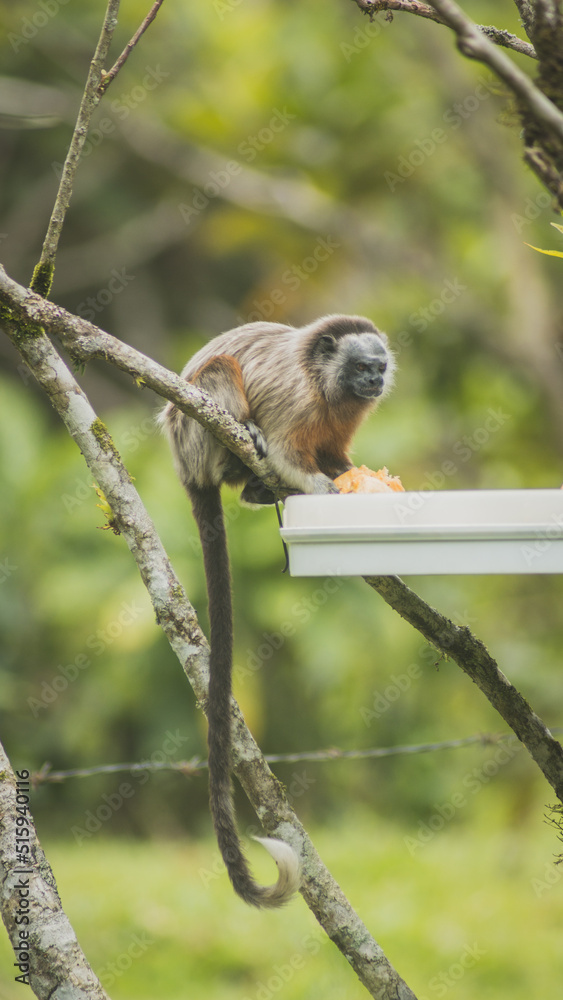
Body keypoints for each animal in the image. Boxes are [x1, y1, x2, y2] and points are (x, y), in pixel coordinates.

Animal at [160, 314, 395, 908]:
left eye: (379, 367)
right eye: (363, 366)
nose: (375, 381)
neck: (328, 385)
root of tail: (184, 467)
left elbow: (335, 456)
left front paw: (355, 479)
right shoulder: (297, 399)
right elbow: (293, 455)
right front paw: (324, 489)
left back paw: (258, 492)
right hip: (194, 435)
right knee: (219, 376)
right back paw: (245, 446)